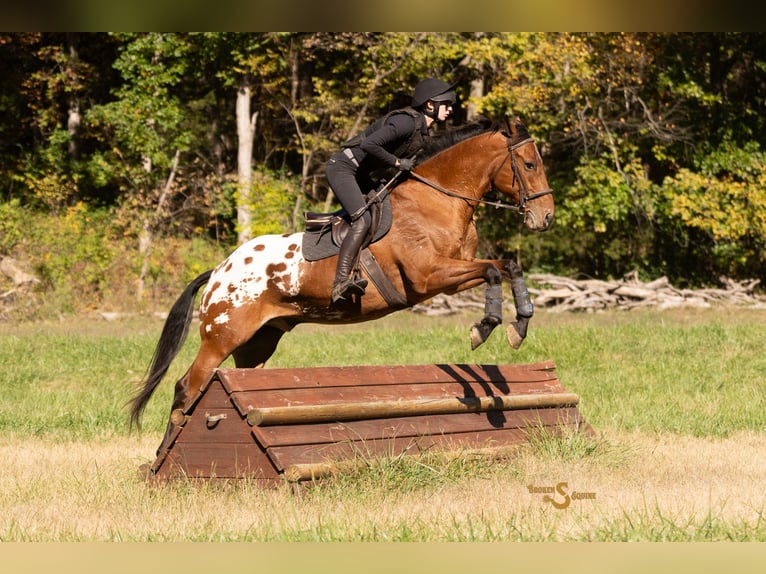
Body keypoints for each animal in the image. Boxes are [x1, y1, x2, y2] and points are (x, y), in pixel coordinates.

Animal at [129, 116, 555, 454]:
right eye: (529, 164)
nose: (546, 217)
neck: (437, 198)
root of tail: (219, 271)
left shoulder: (453, 275)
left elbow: (507, 266)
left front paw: (518, 326)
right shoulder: (431, 277)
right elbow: (494, 272)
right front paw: (485, 328)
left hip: (257, 344)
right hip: (222, 338)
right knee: (186, 386)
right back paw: (162, 457)